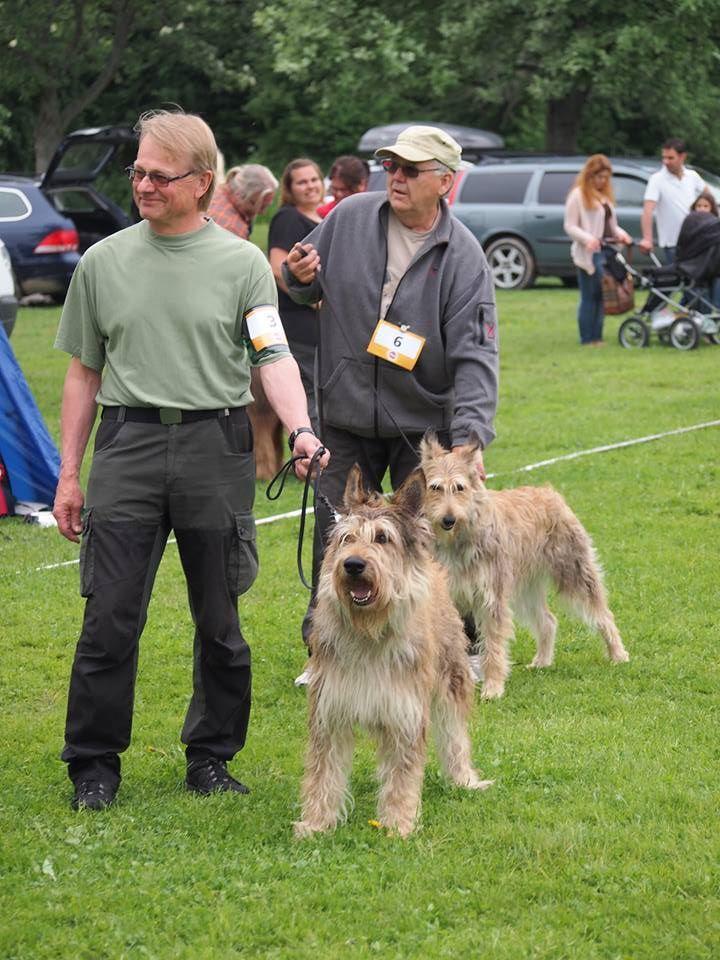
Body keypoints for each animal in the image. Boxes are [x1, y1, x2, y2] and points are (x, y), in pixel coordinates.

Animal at [294, 466, 496, 840]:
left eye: (382, 538)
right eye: (346, 538)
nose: (353, 565)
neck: (369, 631)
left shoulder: (405, 712)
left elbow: (403, 774)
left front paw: (398, 824)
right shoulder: (329, 711)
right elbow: (322, 773)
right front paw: (316, 823)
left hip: (451, 676)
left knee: (455, 735)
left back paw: (464, 779)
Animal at [420, 436, 628, 696]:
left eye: (459, 488)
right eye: (435, 488)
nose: (448, 519)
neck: (458, 540)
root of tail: (549, 492)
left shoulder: (491, 599)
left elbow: (493, 647)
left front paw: (493, 687)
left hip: (575, 573)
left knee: (603, 614)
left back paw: (618, 653)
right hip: (525, 590)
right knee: (548, 621)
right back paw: (542, 661)